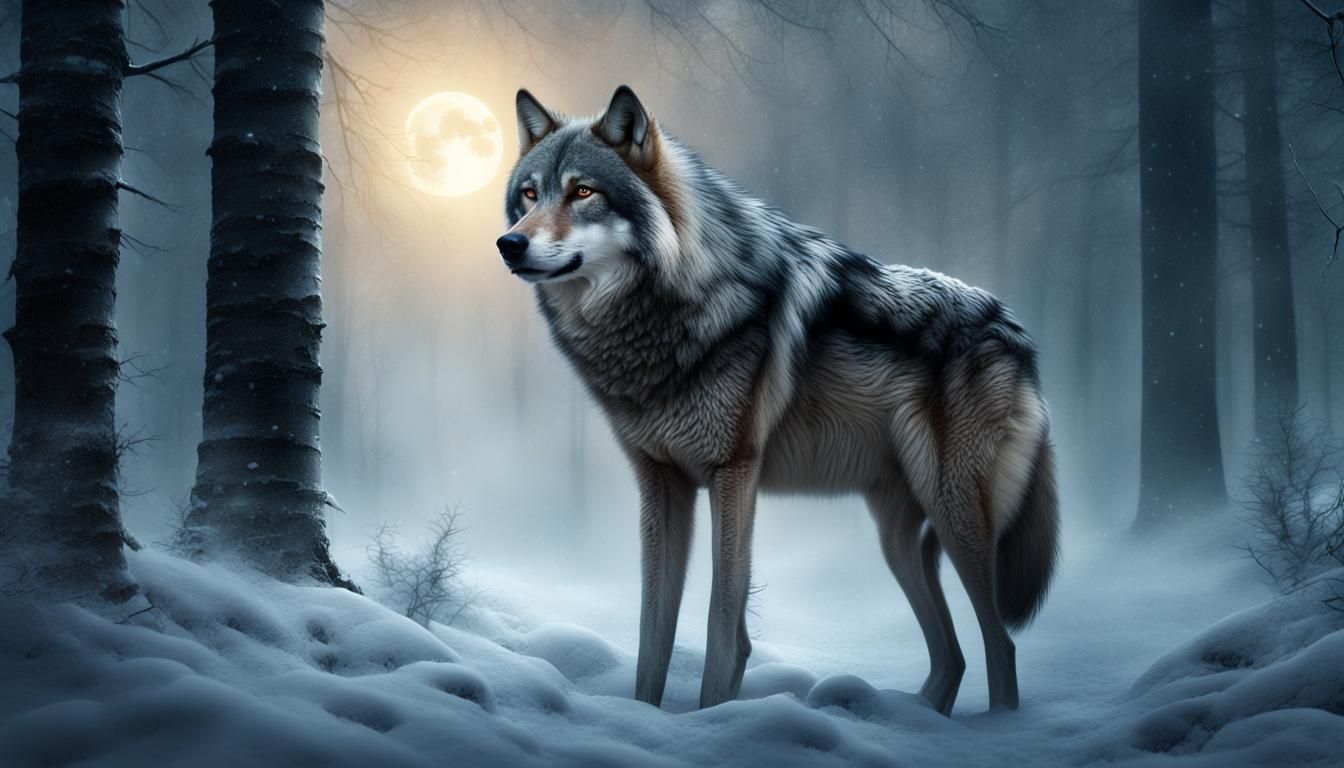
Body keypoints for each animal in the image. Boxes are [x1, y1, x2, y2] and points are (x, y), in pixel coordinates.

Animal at [495, 86, 1060, 715]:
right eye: (529, 194)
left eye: (583, 192)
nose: (509, 244)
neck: (663, 317)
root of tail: (1017, 332)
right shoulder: (661, 484)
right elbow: (651, 633)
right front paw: (647, 715)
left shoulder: (733, 474)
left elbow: (722, 622)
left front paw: (713, 714)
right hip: (900, 539)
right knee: (952, 656)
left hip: (956, 513)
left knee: (999, 646)